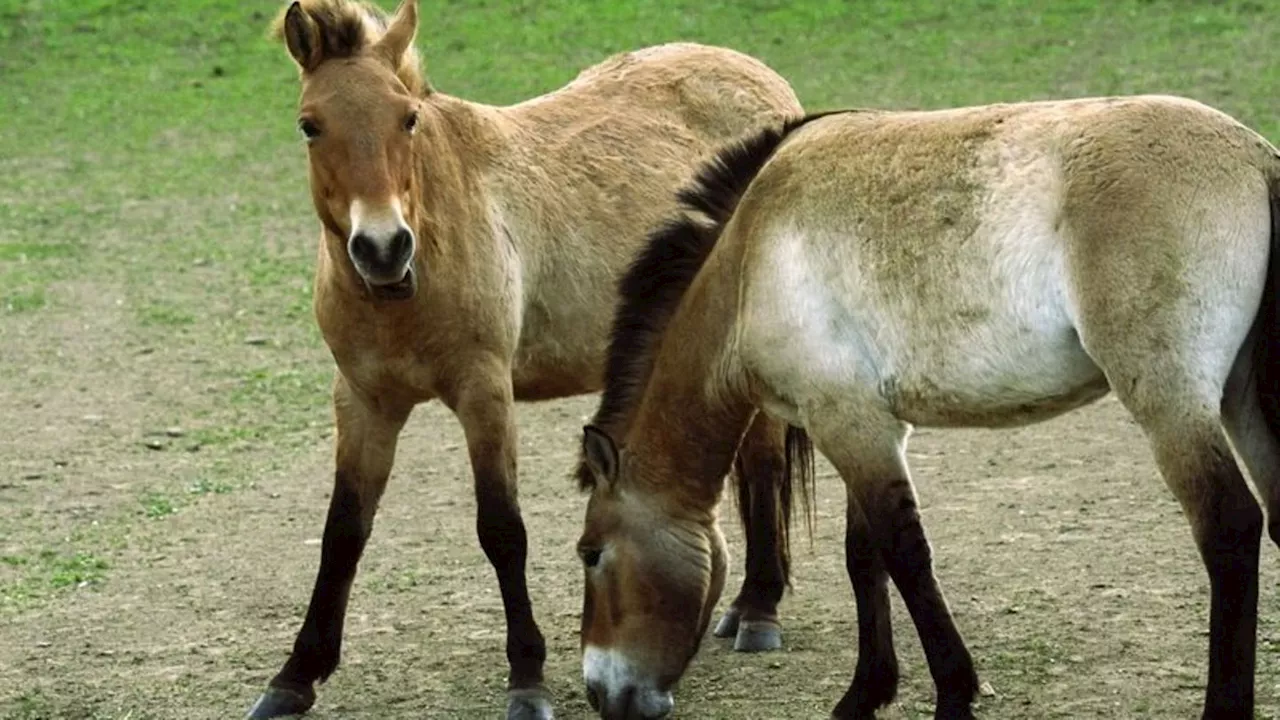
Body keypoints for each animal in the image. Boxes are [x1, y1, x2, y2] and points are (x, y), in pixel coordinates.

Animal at [249, 1, 803, 717]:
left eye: (408, 118)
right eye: (310, 125)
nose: (382, 248)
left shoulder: (484, 394)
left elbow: (502, 530)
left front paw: (528, 679)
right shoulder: (364, 401)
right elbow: (342, 533)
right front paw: (293, 678)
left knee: (763, 466)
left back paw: (758, 609)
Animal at [578, 95, 1280, 717]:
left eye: (590, 552)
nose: (599, 692)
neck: (749, 258)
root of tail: (1255, 156)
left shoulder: (848, 425)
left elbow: (905, 556)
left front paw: (953, 694)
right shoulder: (866, 424)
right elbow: (865, 556)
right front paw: (865, 695)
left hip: (1172, 404)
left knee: (1230, 527)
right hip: (1242, 402)